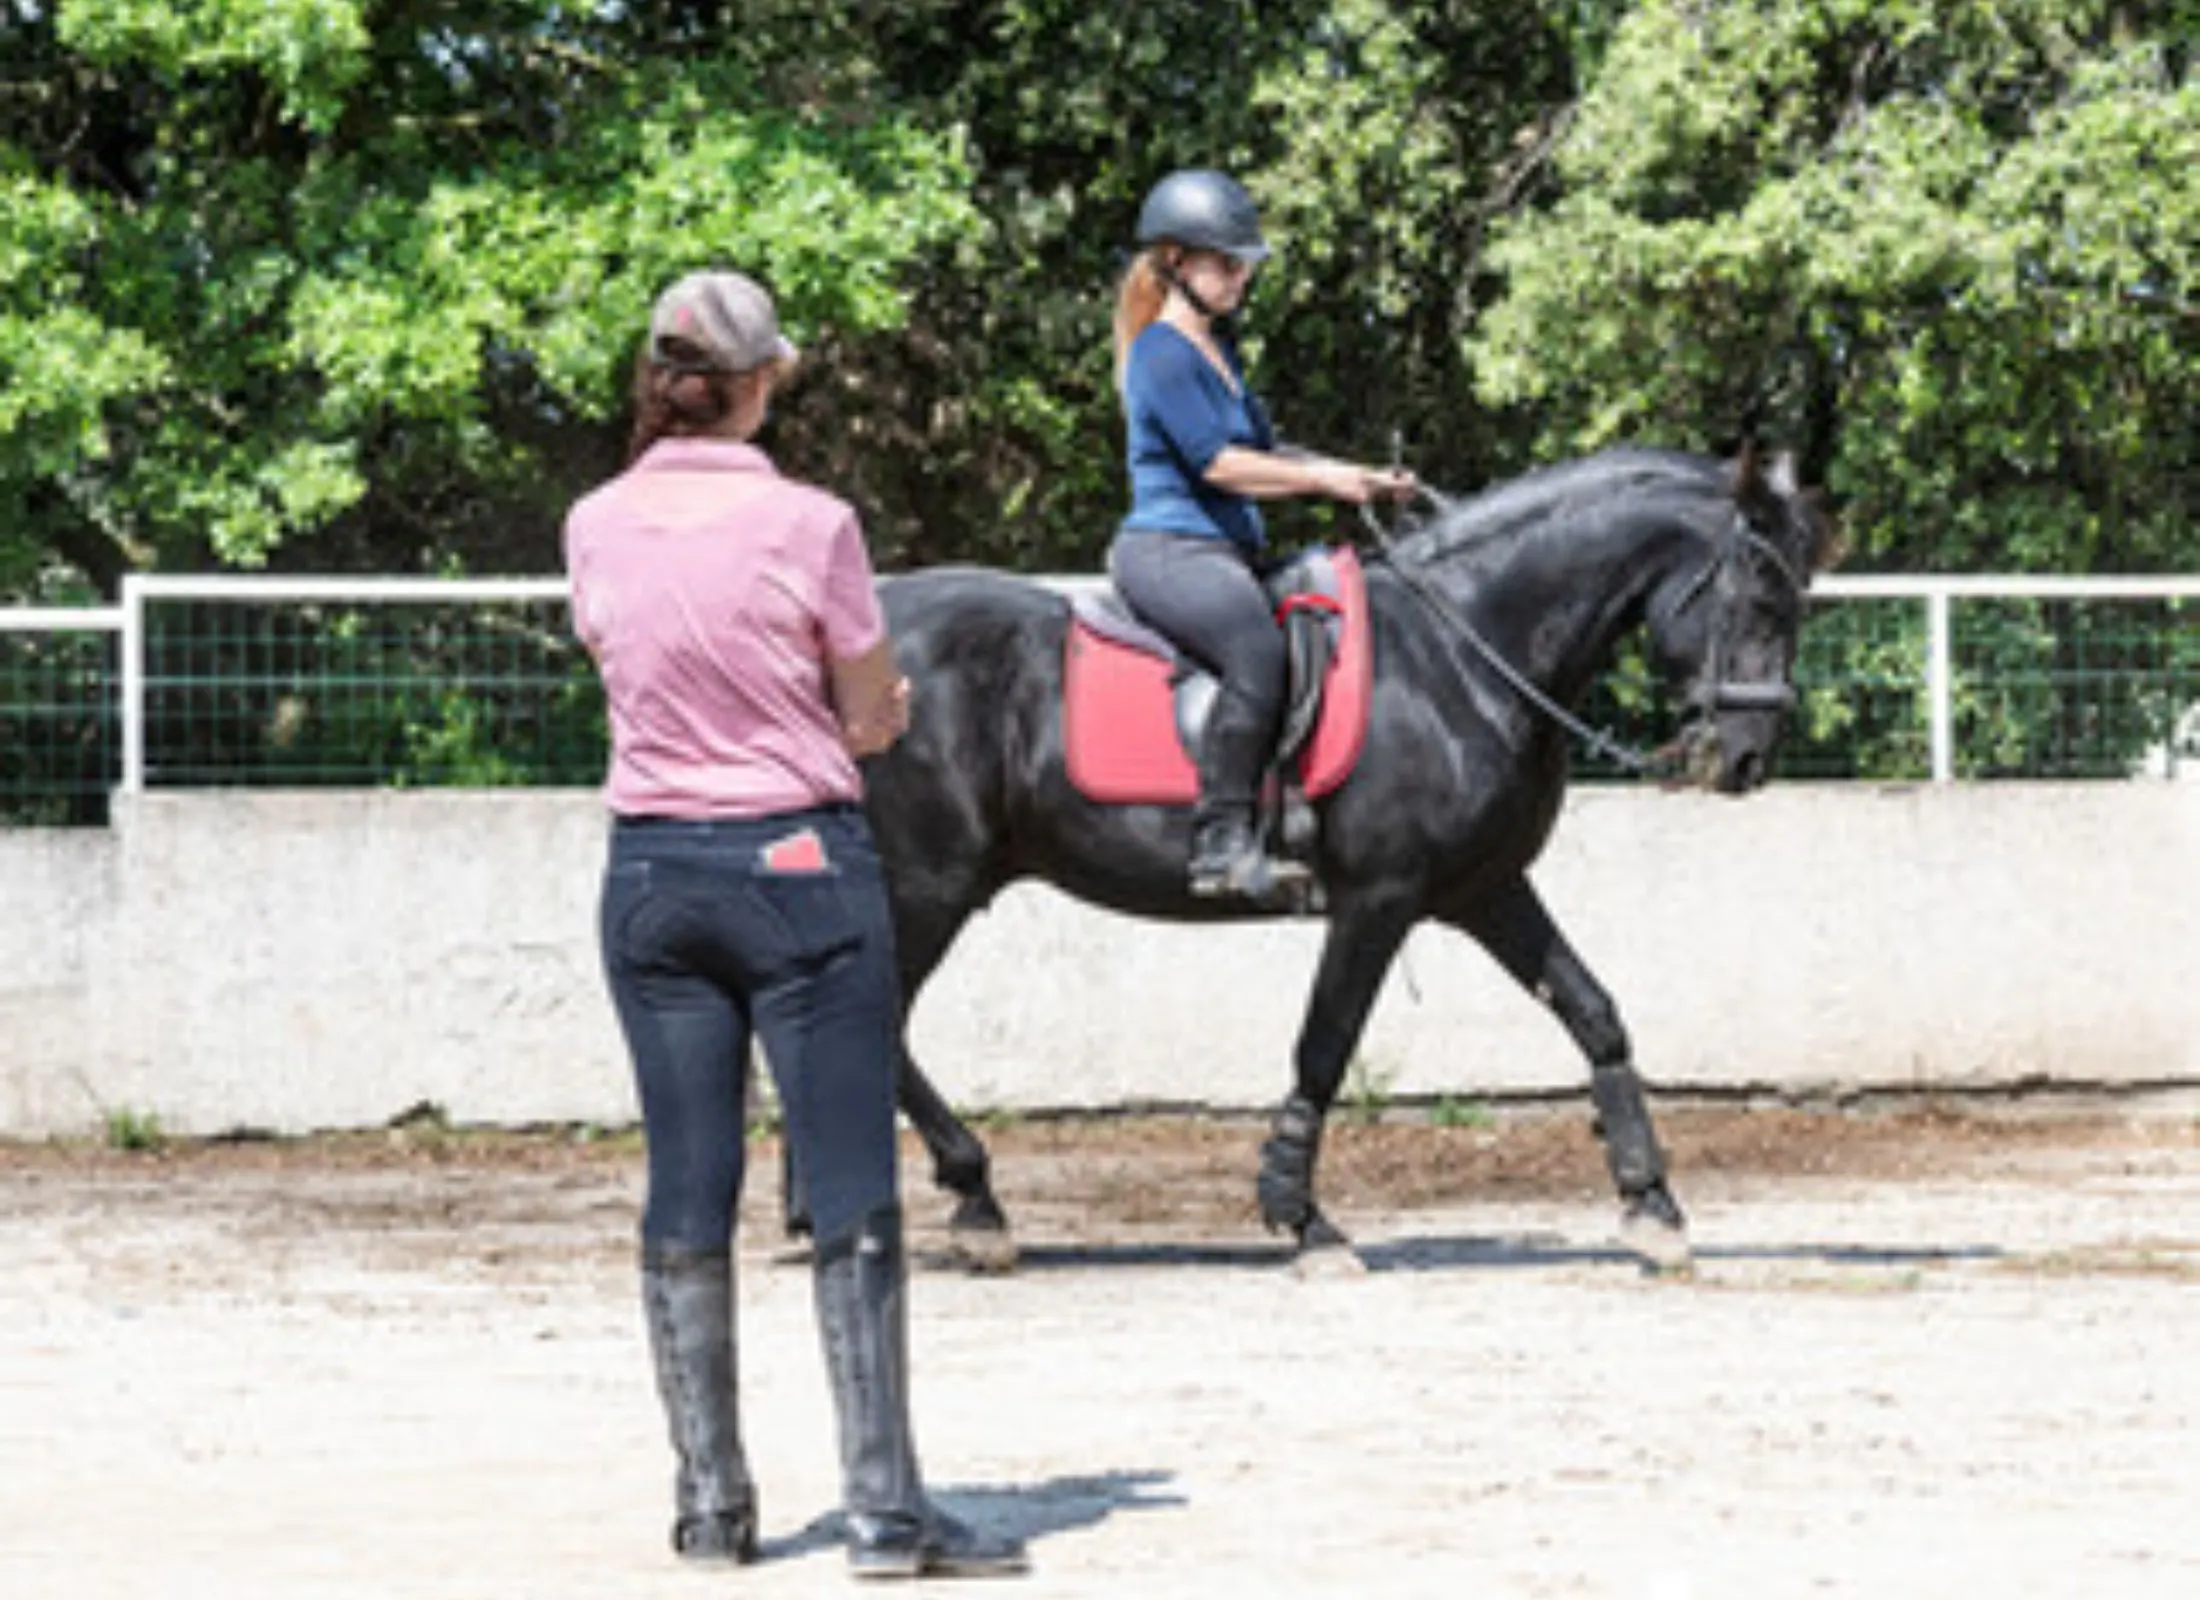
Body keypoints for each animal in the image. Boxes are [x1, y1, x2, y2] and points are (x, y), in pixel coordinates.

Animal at [831, 444, 1830, 1267]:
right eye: (1759, 599)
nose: (1743, 760)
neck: (1460, 653)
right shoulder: (1379, 898)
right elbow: (1326, 1043)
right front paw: (1302, 1220)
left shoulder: (1486, 887)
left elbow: (1594, 1013)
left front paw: (1652, 1205)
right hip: (929, 885)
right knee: (875, 1025)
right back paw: (971, 1201)